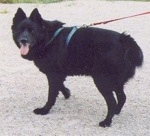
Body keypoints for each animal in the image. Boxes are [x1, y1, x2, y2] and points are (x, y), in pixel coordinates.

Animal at [11, 7, 143, 127]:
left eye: (32, 30)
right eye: (20, 30)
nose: (23, 40)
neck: (48, 38)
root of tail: (124, 39)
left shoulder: (53, 74)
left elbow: (51, 94)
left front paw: (45, 110)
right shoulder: (57, 74)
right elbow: (60, 86)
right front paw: (67, 93)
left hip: (102, 81)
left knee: (112, 101)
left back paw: (106, 122)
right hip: (115, 82)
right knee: (122, 97)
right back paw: (116, 112)